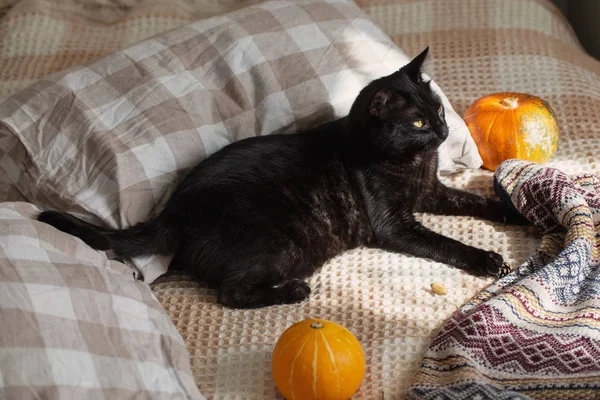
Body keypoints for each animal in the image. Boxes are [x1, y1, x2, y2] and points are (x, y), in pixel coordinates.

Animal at [39, 47, 524, 310]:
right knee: (231, 293)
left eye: (438, 110)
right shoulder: (395, 224)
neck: (412, 161)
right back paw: (293, 291)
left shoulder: (430, 192)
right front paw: (486, 259)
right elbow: (444, 242)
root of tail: (171, 213)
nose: (442, 132)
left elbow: (472, 202)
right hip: (289, 244)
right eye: (419, 123)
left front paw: (514, 212)